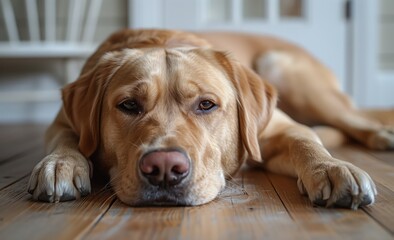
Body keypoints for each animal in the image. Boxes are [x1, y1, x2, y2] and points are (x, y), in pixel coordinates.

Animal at [26, 28, 392, 208]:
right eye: (129, 105)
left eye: (206, 105)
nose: (164, 168)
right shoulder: (62, 122)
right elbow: (66, 138)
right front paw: (61, 164)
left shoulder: (277, 128)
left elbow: (304, 140)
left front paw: (331, 168)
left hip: (283, 69)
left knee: (354, 118)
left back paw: (382, 135)